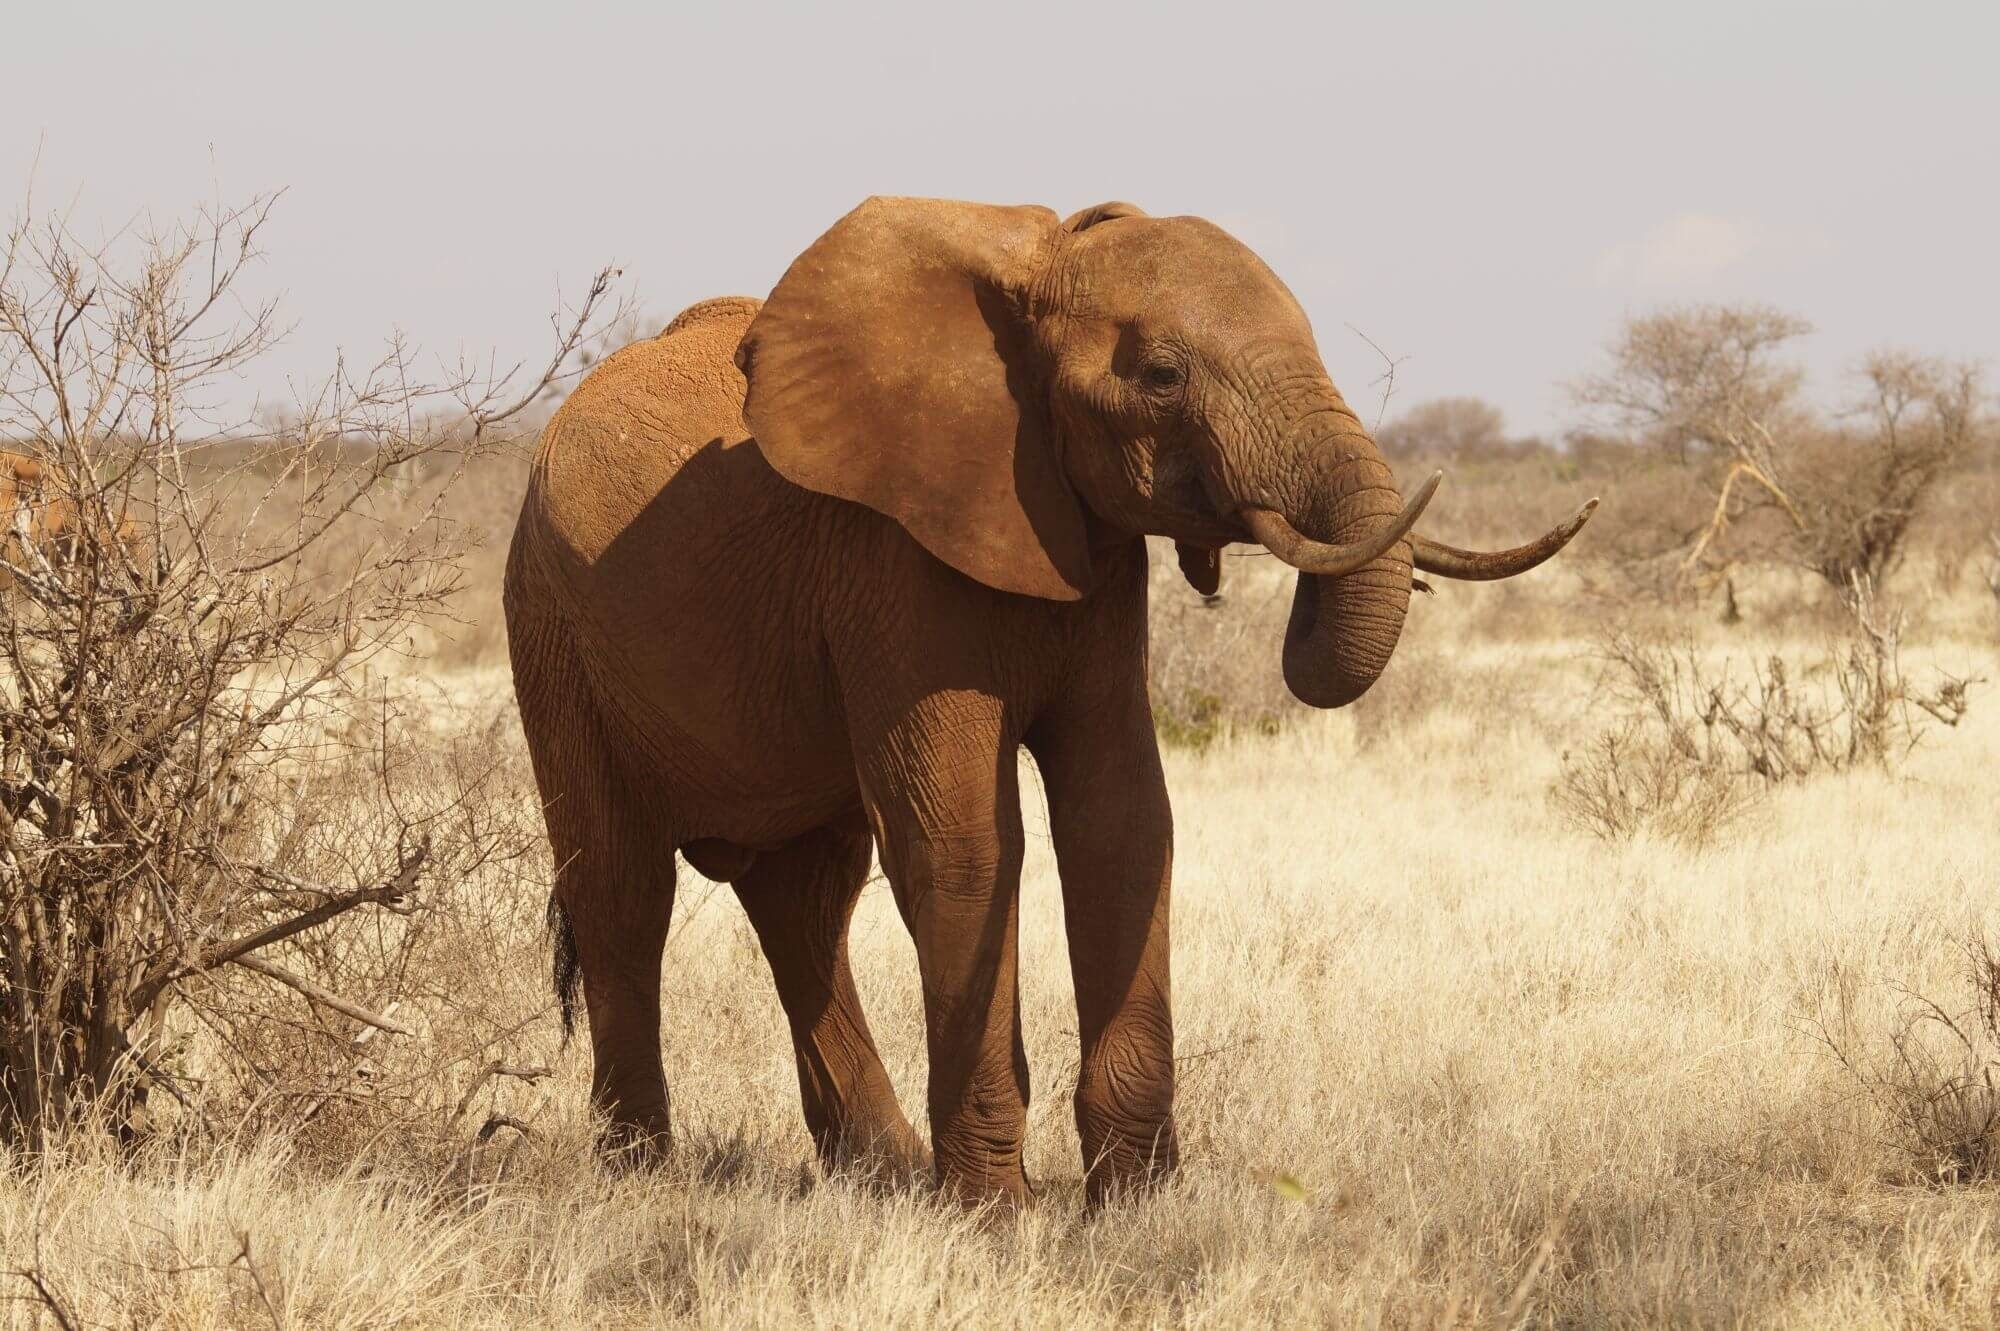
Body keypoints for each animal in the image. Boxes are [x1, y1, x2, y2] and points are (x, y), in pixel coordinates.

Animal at [504, 194, 1592, 1199]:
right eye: (1161, 376)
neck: (1035, 267)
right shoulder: (892, 557)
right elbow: (962, 841)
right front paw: (995, 1216)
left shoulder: (1093, 559)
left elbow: (1121, 818)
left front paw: (1136, 1203)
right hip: (551, 627)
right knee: (623, 888)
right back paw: (640, 1176)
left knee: (805, 897)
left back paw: (883, 1170)